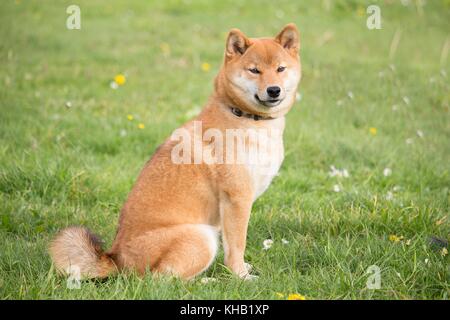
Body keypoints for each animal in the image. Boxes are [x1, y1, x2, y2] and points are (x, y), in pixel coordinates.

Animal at [49, 23, 300, 280]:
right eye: (254, 70)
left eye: (280, 68)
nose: (274, 90)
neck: (245, 117)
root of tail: (117, 259)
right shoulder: (237, 199)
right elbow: (237, 246)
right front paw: (241, 277)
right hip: (201, 237)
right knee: (162, 279)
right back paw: (206, 281)